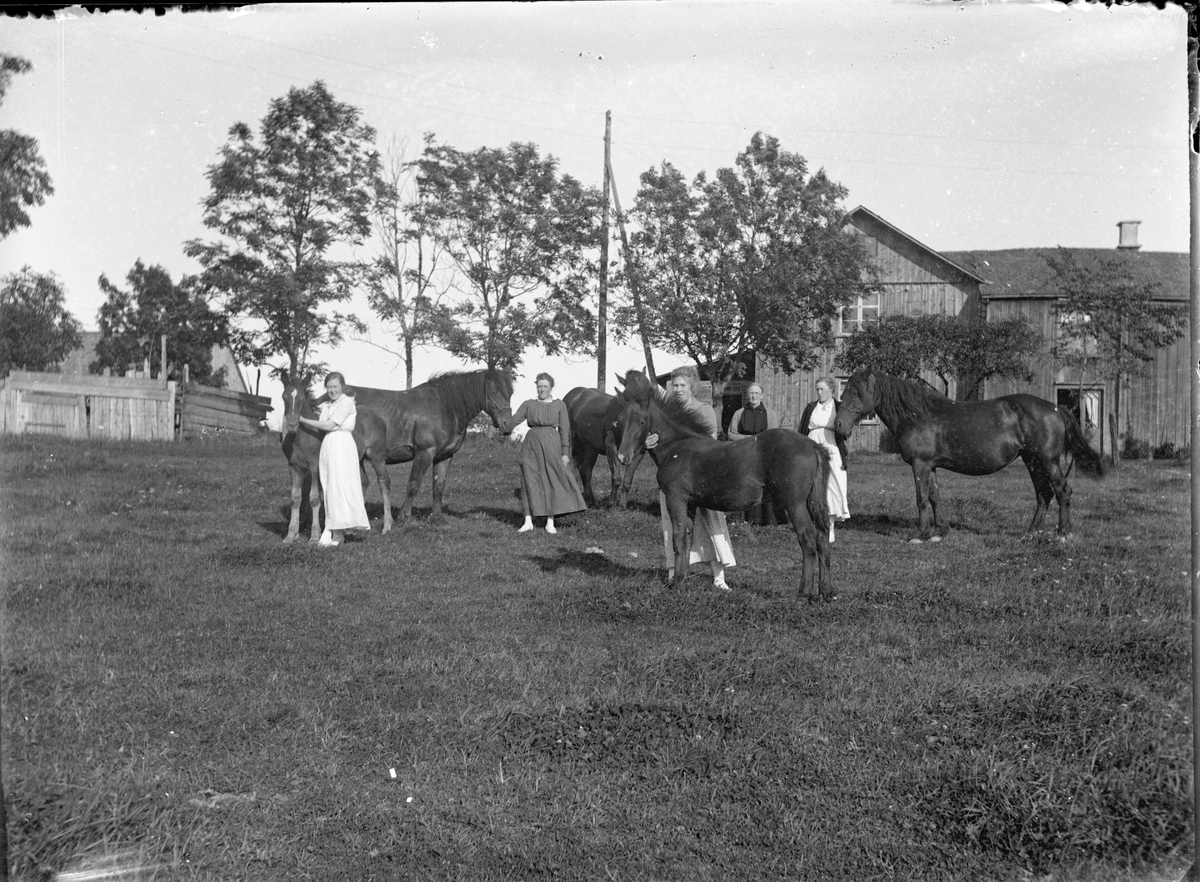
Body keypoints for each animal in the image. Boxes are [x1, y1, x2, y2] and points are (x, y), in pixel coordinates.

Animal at [322, 369, 514, 525]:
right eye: (492, 392)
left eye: (511, 393)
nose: (507, 425)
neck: (446, 406)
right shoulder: (425, 452)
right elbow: (414, 484)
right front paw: (404, 517)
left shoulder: (444, 456)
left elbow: (438, 486)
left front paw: (437, 518)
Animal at [562, 369, 652, 508]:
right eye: (620, 420)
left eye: (642, 422)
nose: (624, 456)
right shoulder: (611, 447)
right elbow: (616, 478)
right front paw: (611, 504)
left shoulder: (639, 452)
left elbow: (627, 480)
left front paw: (622, 506)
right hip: (572, 443)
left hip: (590, 448)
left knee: (585, 471)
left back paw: (591, 501)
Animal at [616, 381, 833, 601]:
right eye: (619, 421)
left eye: (642, 421)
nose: (623, 457)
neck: (676, 447)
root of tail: (812, 445)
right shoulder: (690, 503)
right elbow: (688, 537)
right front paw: (683, 578)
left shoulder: (676, 499)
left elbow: (678, 539)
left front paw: (676, 583)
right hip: (811, 502)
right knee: (823, 537)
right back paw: (825, 592)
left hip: (794, 503)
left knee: (808, 538)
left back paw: (803, 592)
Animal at [833, 367, 1106, 543]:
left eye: (855, 393)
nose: (839, 426)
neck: (918, 415)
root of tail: (1056, 409)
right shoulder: (930, 465)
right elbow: (935, 497)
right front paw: (940, 532)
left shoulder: (920, 465)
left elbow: (922, 499)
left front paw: (920, 535)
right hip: (1032, 461)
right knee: (1043, 494)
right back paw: (1030, 533)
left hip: (1048, 461)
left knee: (1062, 491)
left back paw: (1063, 534)